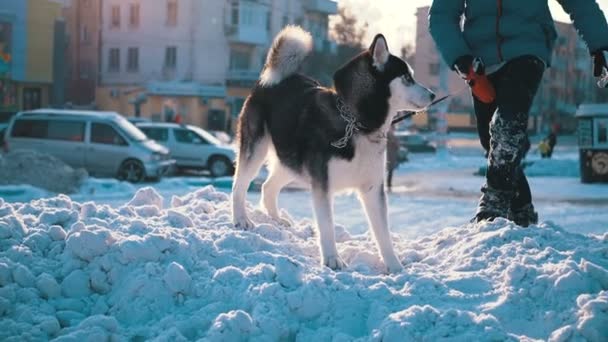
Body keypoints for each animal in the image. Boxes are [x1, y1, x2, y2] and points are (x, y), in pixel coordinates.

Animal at [230, 26, 434, 272]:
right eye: (406, 78)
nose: (433, 95)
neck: (356, 123)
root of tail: (267, 81)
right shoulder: (322, 185)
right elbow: (326, 225)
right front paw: (332, 259)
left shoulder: (373, 188)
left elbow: (383, 234)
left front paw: (395, 267)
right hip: (257, 150)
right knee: (239, 186)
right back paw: (241, 219)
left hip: (292, 163)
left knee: (267, 187)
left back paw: (276, 220)